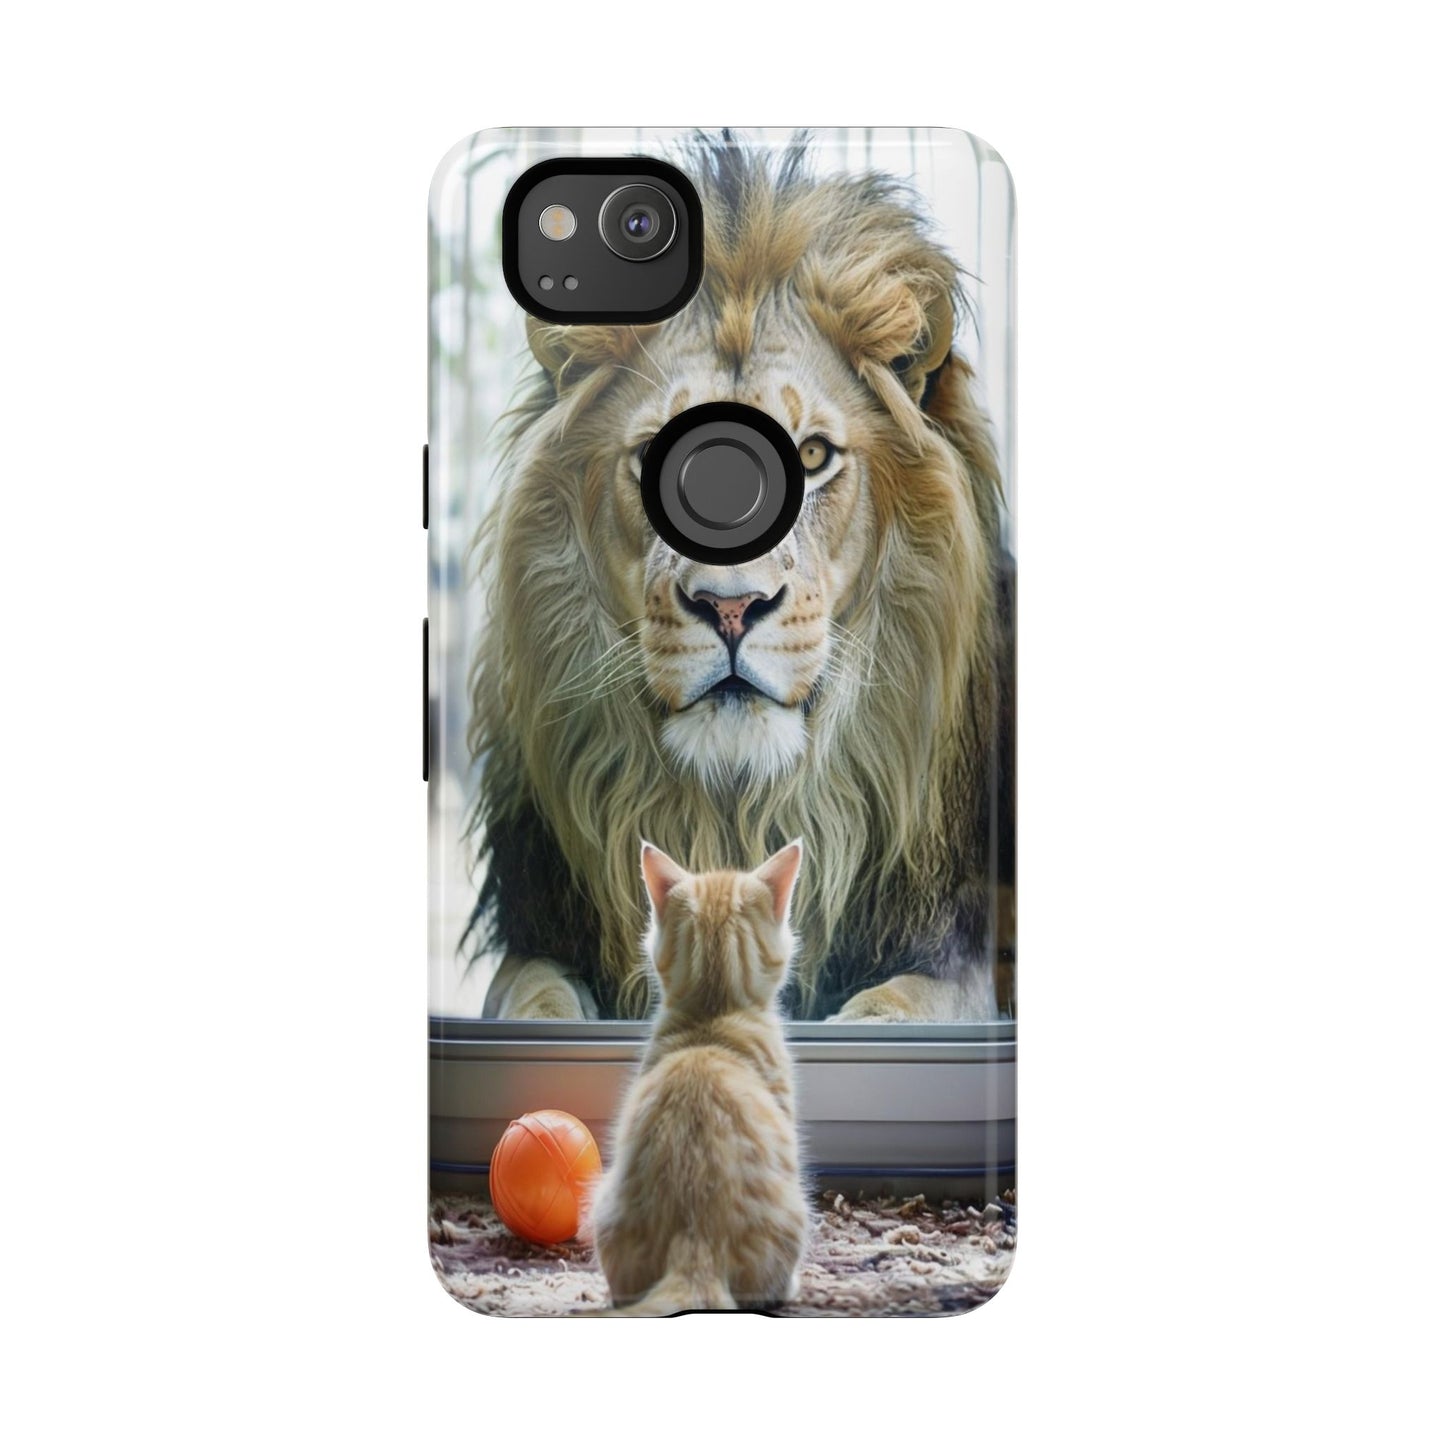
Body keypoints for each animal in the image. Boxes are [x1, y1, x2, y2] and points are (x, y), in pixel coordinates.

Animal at [465, 138, 1014, 1022]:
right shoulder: (540, 938)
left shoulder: (956, 953)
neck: (736, 812)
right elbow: (531, 1001)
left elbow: (901, 1005)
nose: (729, 608)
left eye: (813, 454)